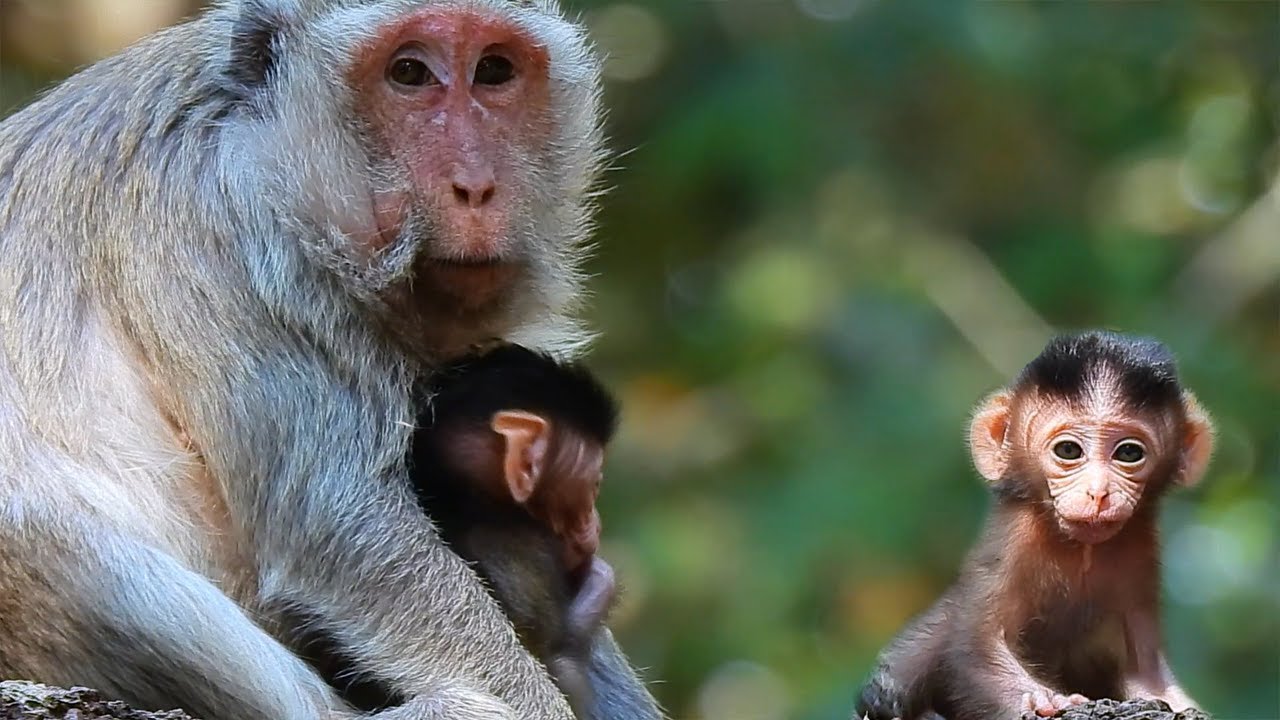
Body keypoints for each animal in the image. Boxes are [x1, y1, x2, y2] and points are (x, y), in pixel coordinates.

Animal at [855, 331, 1214, 720]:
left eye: (1129, 453)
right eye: (1069, 451)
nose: (1098, 492)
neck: (1082, 550)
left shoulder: (1139, 552)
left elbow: (1145, 673)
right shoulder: (1017, 540)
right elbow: (975, 648)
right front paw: (1043, 699)